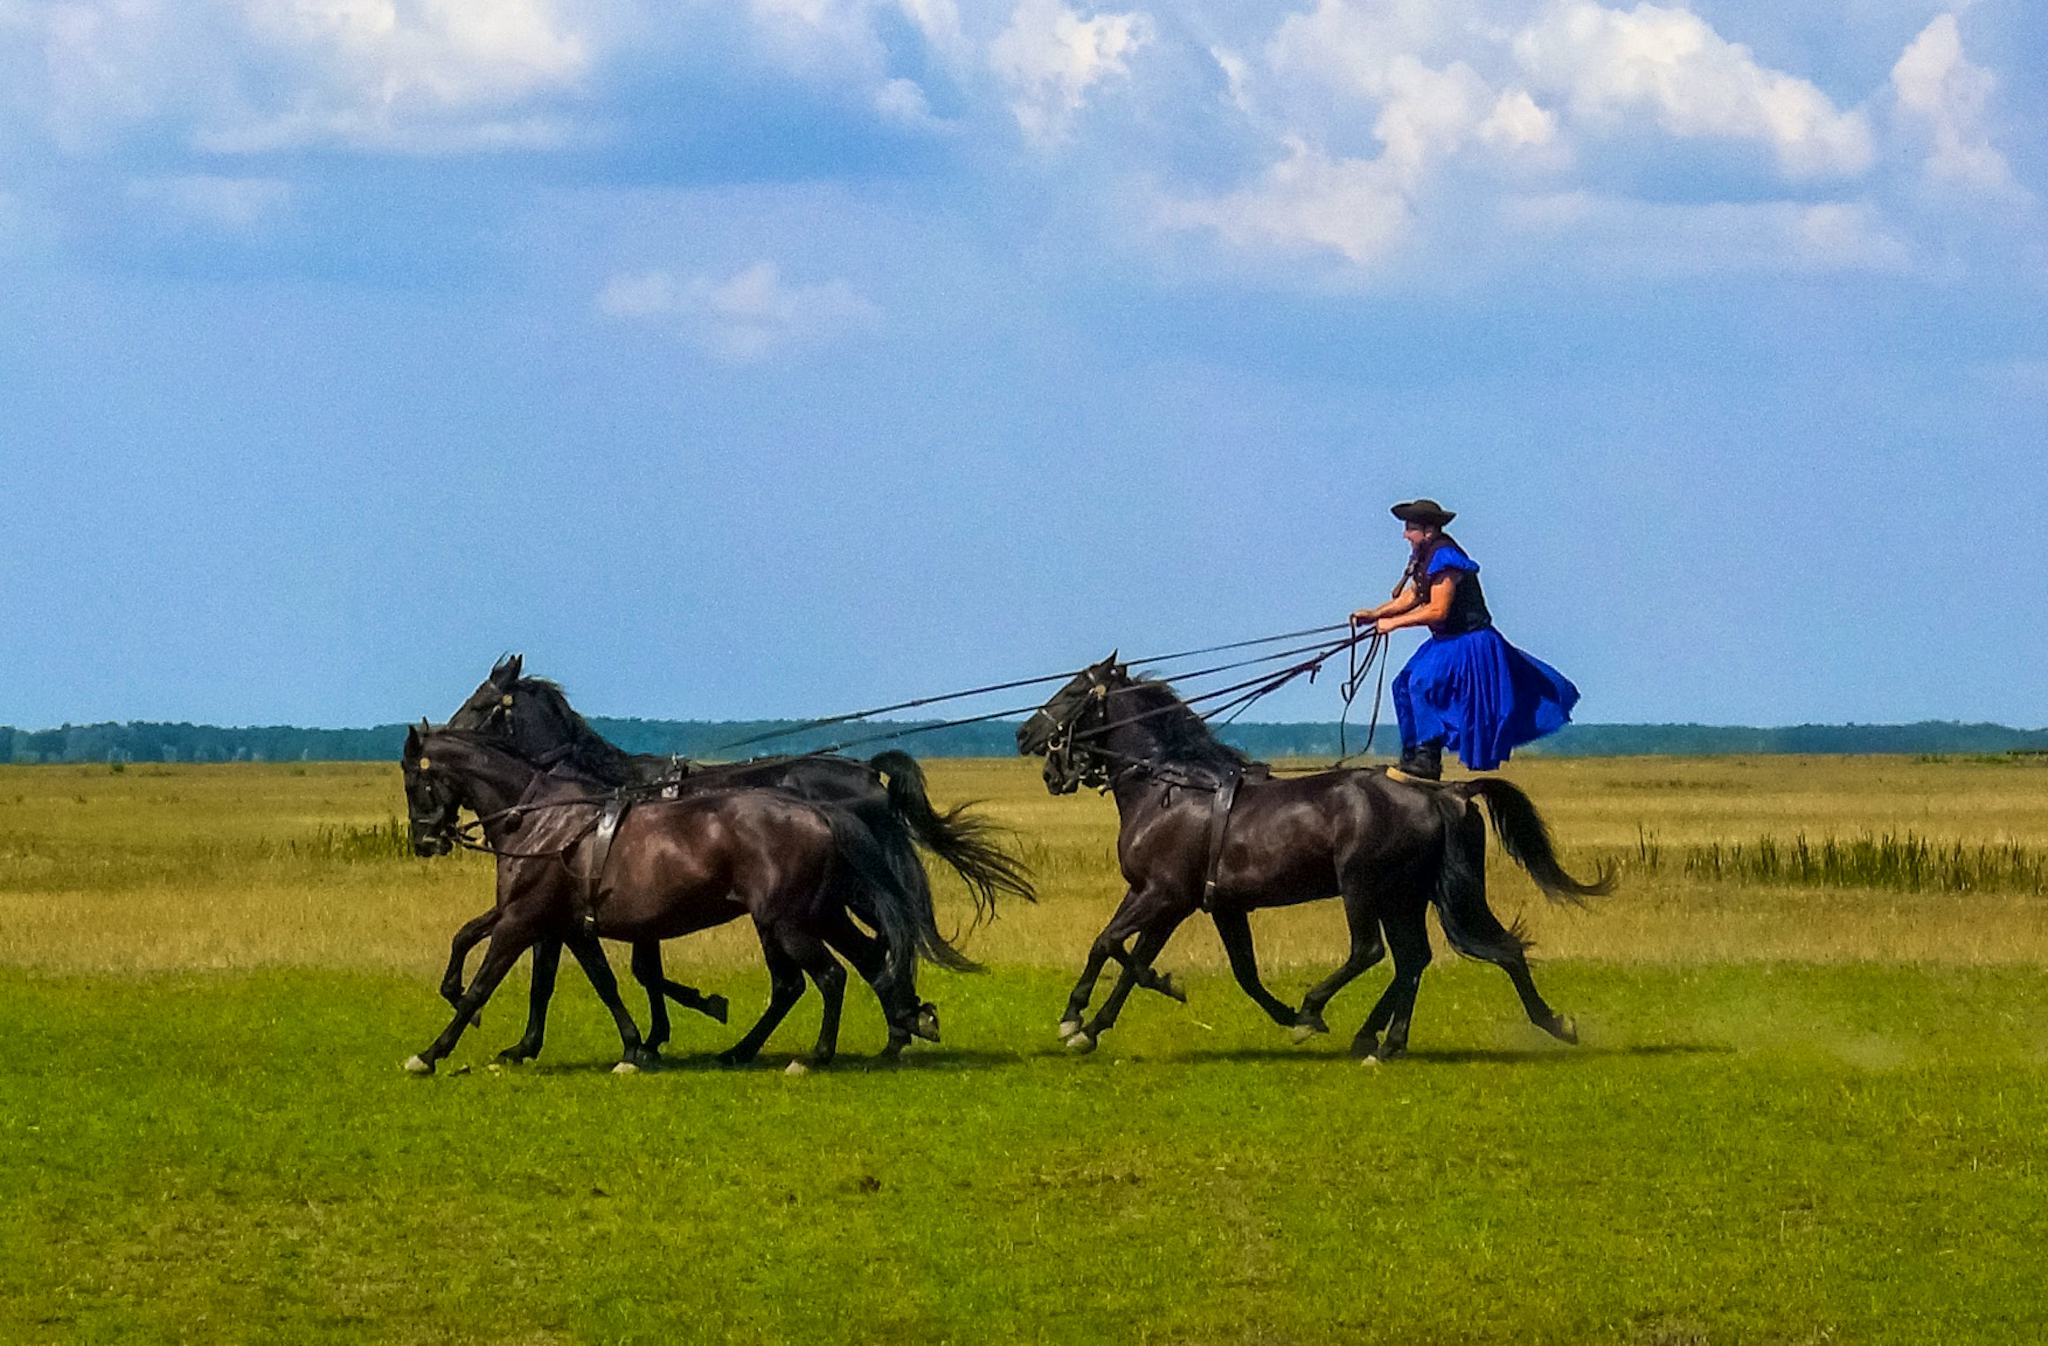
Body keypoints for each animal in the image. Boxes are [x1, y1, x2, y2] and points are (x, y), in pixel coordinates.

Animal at [397, 725, 937, 1073]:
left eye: (413, 779)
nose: (426, 841)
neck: (545, 820)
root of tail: (820, 812)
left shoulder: (521, 920)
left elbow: (481, 987)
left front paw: (431, 1053)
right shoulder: (567, 926)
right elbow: (599, 982)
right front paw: (632, 1047)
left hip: (788, 923)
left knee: (828, 976)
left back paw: (817, 1055)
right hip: (814, 915)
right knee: (853, 965)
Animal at [438, 655, 1032, 1057]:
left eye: (481, 705)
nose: (440, 734)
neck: (596, 793)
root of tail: (866, 774)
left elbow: (617, 970)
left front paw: (673, 1023)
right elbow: (583, 969)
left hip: (834, 899)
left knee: (878, 947)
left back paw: (897, 1024)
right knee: (877, 949)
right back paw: (899, 1025)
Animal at [1015, 655, 1605, 1057]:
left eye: (1071, 691)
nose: (1025, 734)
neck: (1172, 788)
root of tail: (1446, 792)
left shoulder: (1163, 894)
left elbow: (1109, 944)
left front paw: (1079, 1017)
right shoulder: (1199, 903)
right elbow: (1207, 968)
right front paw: (1099, 1022)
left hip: (1363, 886)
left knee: (1374, 952)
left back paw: (1323, 1012)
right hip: (1408, 896)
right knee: (1439, 956)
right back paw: (1394, 1039)